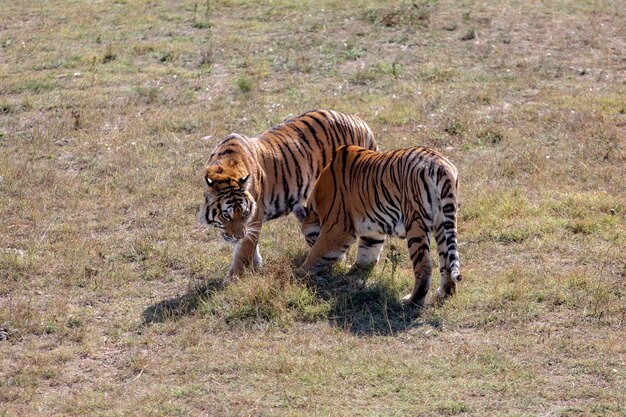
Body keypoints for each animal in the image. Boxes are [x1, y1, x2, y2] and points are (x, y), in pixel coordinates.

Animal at [197, 109, 378, 282]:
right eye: (226, 215)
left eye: (244, 212)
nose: (237, 235)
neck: (225, 168)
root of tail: (360, 122)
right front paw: (256, 265)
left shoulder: (255, 213)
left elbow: (244, 249)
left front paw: (234, 278)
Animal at [292, 144, 458, 306]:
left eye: (308, 239)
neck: (316, 205)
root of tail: (440, 164)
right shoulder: (372, 231)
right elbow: (366, 255)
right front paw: (353, 270)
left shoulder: (337, 229)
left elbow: (316, 254)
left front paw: (299, 274)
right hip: (443, 222)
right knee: (447, 262)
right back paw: (444, 293)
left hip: (415, 222)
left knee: (424, 266)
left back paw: (411, 301)